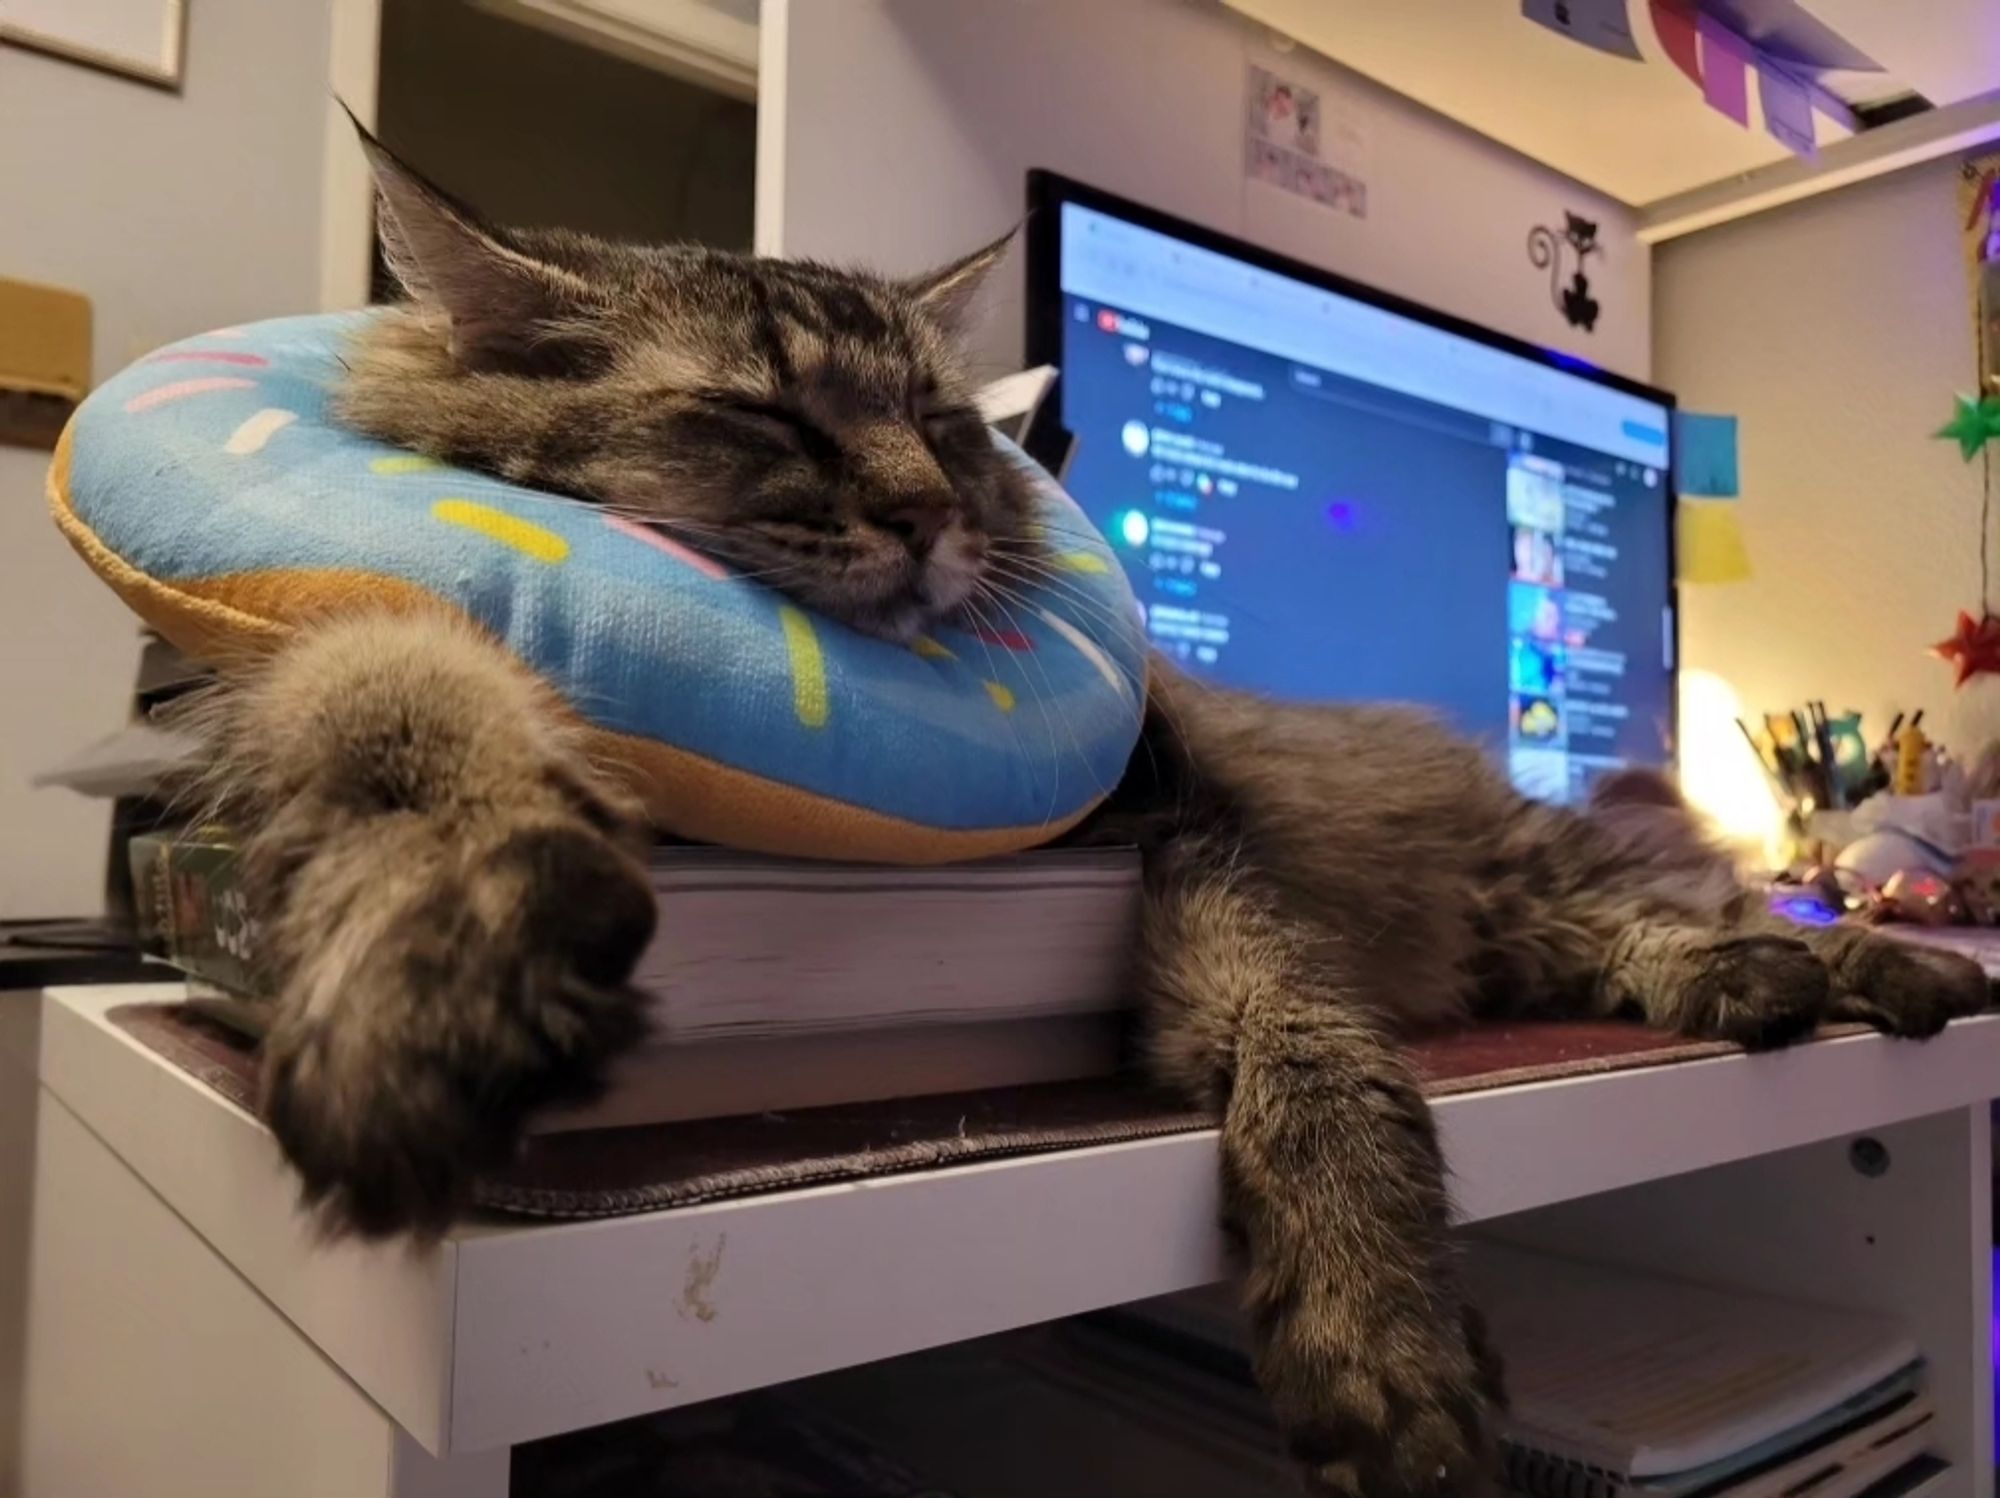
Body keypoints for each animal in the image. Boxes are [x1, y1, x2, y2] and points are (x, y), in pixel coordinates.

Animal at [195, 134, 1992, 1488]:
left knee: (1706, 904)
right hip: (1517, 920)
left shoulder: (1190, 837)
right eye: (768, 416)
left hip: (1536, 870)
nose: (929, 510)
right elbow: (405, 697)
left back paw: (1867, 971)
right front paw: (431, 966)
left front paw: (1380, 1341)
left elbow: (1319, 1059)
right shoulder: (329, 662)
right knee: (1644, 935)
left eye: (939, 423)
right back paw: (1771, 982)